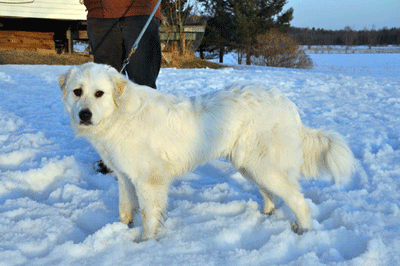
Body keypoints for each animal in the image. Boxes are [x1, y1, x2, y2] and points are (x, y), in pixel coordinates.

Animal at [58, 62, 354, 241]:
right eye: (77, 92)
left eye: (99, 93)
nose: (84, 115)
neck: (118, 115)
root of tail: (286, 103)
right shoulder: (124, 176)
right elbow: (125, 209)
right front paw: (121, 231)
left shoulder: (149, 180)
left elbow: (149, 215)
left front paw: (145, 242)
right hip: (250, 166)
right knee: (272, 195)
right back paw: (266, 215)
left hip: (263, 167)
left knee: (298, 200)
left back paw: (303, 229)